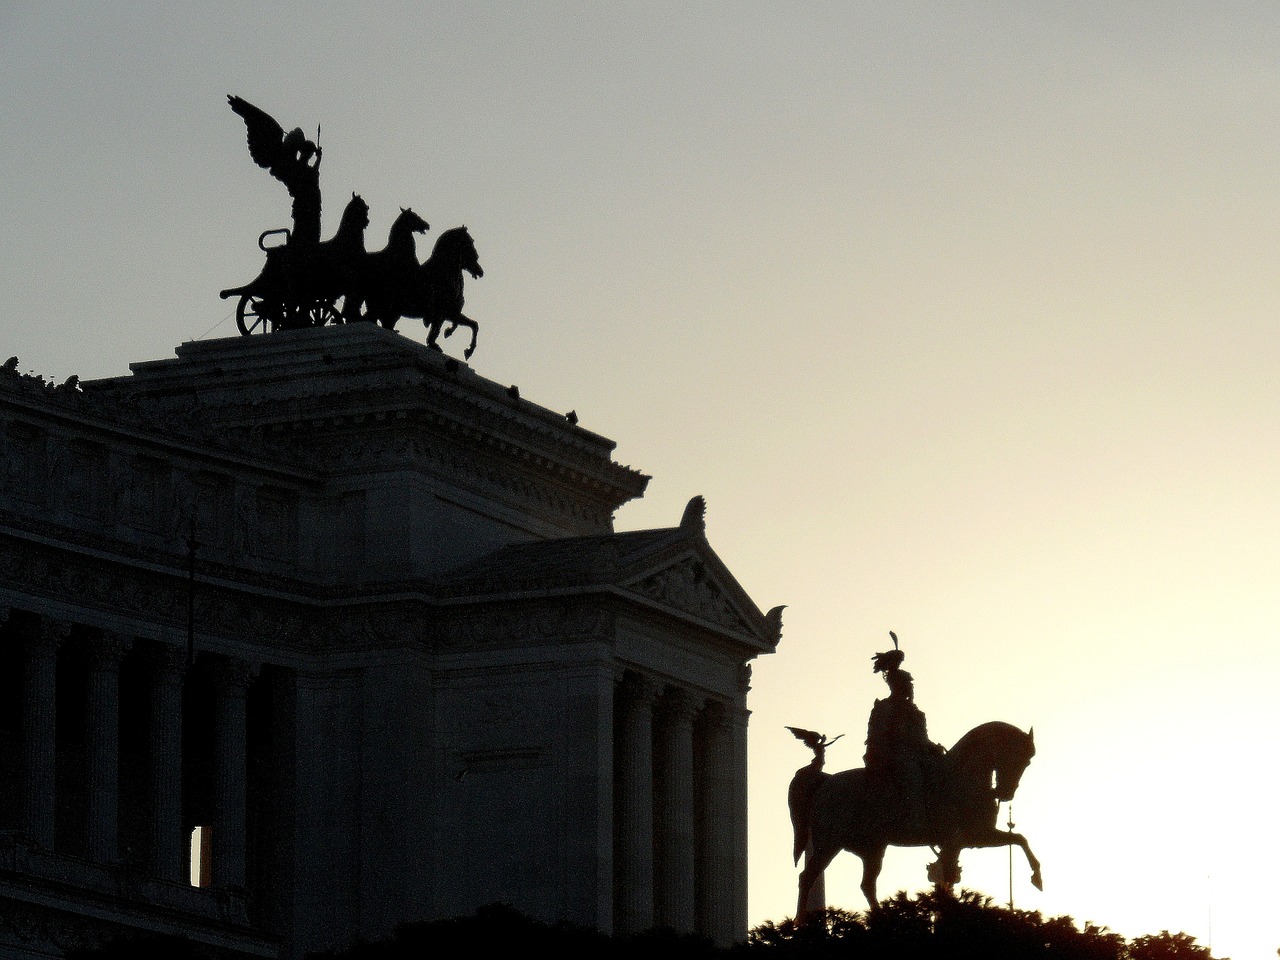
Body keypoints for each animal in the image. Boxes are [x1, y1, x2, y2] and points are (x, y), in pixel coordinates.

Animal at [793, 727, 1044, 921]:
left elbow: (1020, 839)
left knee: (867, 884)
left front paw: (1037, 878)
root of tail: (826, 781)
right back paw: (800, 923)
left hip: (873, 848)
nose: (1006, 793)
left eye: (1028, 761)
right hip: (829, 844)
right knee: (807, 877)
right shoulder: (954, 841)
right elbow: (949, 874)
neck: (960, 776)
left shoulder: (978, 836)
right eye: (1020, 758)